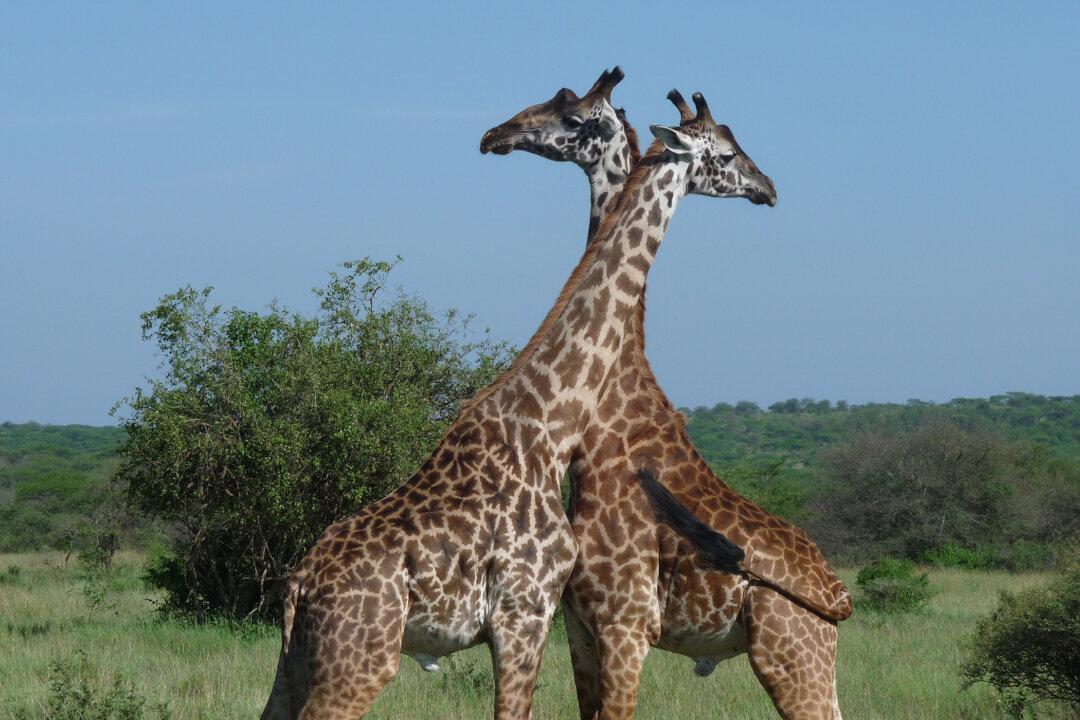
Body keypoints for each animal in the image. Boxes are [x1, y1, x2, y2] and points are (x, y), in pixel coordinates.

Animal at [259, 76, 773, 720]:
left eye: (569, 110)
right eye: (725, 155)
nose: (768, 188)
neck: (551, 425)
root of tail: (300, 586)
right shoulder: (526, 613)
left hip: (295, 666)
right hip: (357, 663)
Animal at [483, 75, 850, 719]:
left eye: (572, 115)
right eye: (727, 151)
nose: (494, 135)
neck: (605, 430)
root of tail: (839, 595)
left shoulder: (626, 624)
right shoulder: (579, 628)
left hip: (791, 653)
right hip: (815, 661)